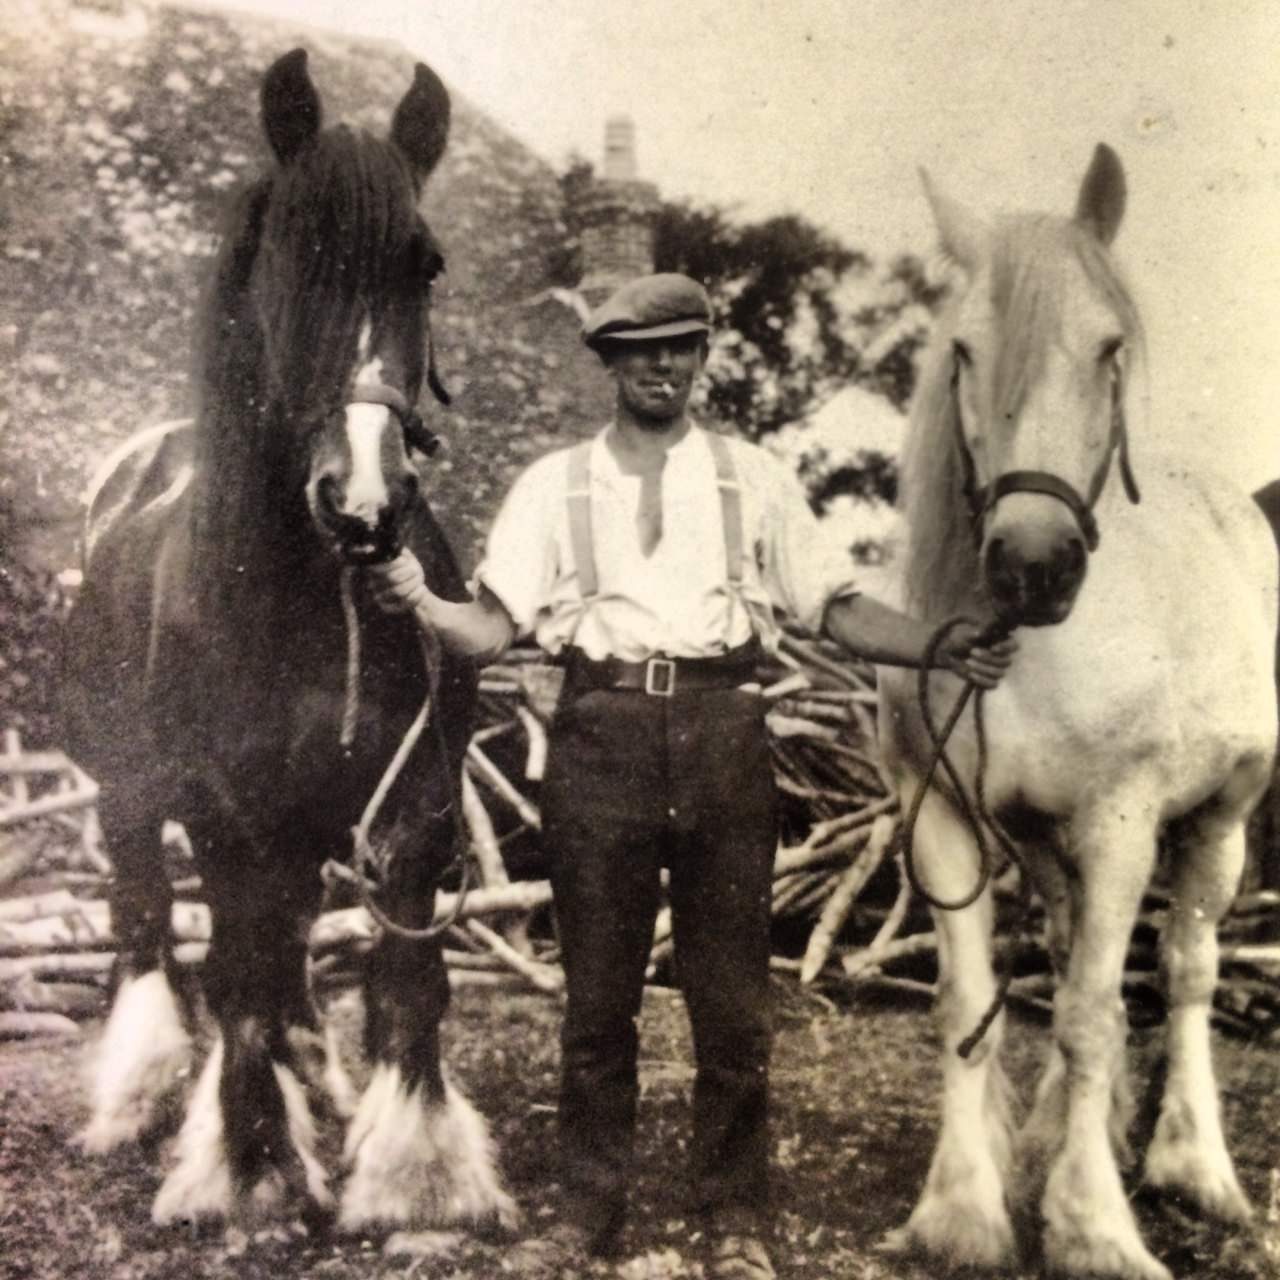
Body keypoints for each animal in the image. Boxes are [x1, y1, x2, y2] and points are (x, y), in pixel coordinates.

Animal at [62, 52, 514, 1239]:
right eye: (286, 257)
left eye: (424, 262)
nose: (363, 505)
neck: (310, 594)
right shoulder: (228, 809)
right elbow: (240, 978)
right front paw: (252, 1167)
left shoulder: (417, 796)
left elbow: (407, 978)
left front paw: (415, 1174)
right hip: (129, 789)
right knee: (151, 925)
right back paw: (141, 1097)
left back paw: (324, 1087)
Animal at [880, 145, 1280, 1274]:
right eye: (963, 350)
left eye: (1107, 348)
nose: (1032, 563)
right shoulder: (944, 817)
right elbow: (970, 1004)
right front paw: (961, 1211)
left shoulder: (1119, 827)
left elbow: (1098, 1015)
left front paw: (1094, 1228)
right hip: (1047, 846)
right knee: (1066, 957)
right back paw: (1070, 1131)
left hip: (1215, 829)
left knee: (1183, 975)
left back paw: (1195, 1167)